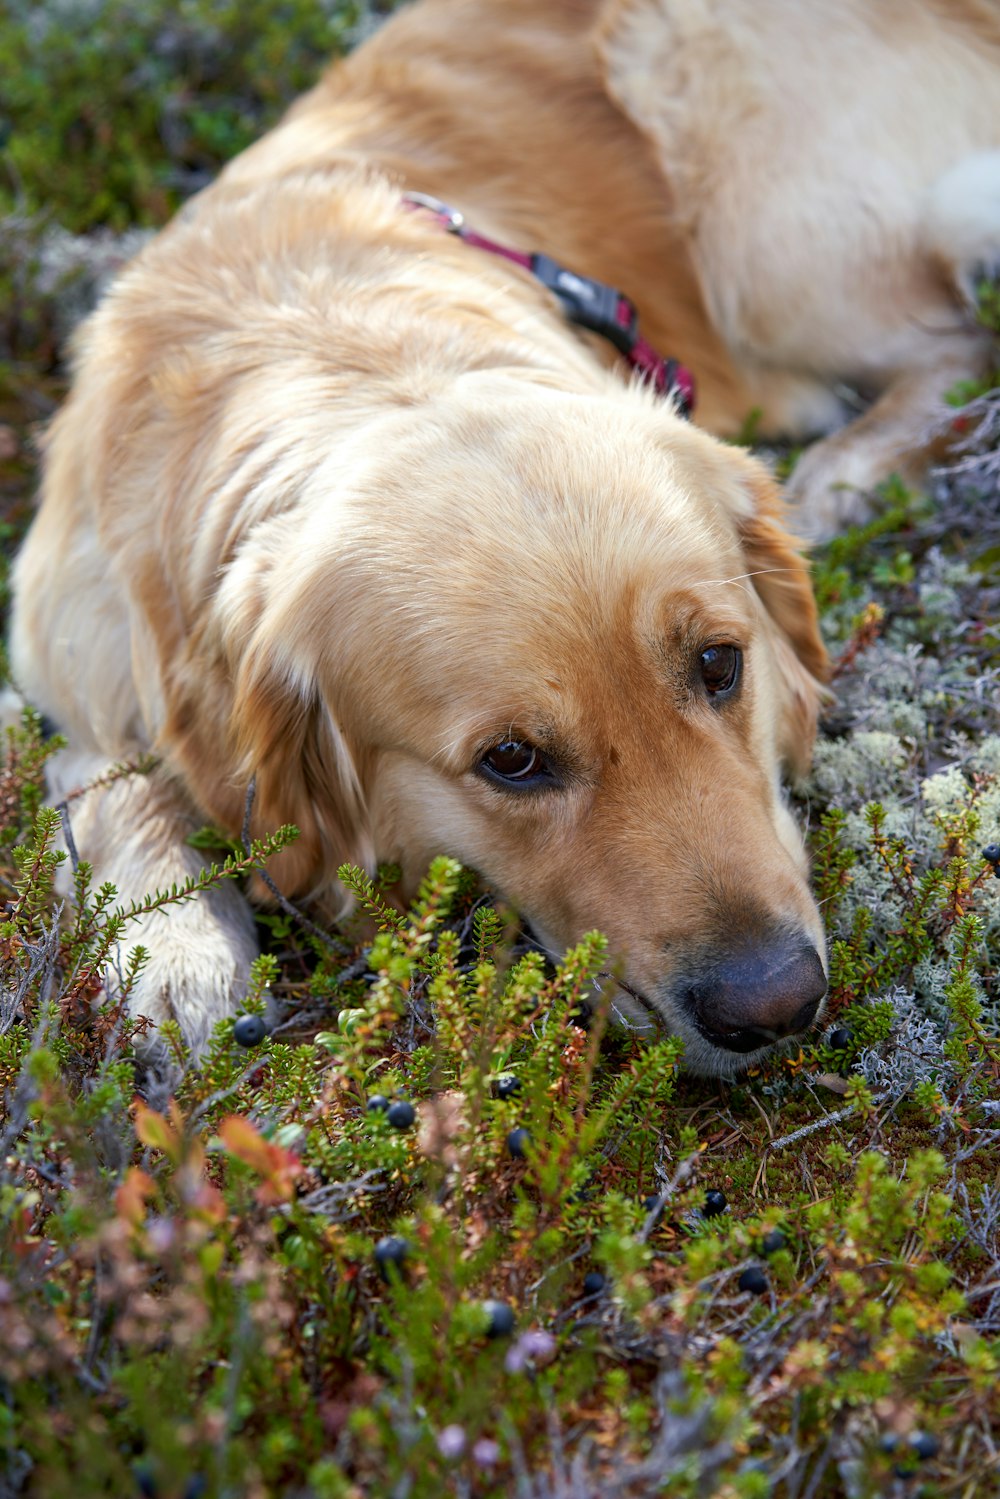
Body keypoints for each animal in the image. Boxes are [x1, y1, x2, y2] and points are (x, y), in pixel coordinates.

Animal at [13, 0, 995, 1067]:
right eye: (511, 761)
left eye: (720, 664)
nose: (775, 1005)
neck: (343, 350)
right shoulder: (68, 654)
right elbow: (106, 774)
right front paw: (177, 948)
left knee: (957, 340)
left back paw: (843, 476)